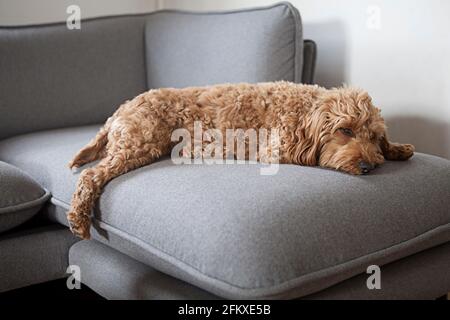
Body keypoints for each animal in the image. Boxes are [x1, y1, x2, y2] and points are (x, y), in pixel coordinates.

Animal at [67, 81, 414, 239]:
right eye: (345, 130)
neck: (306, 111)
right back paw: (78, 218)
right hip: (140, 143)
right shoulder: (276, 149)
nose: (367, 166)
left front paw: (397, 148)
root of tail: (118, 111)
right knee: (90, 176)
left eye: (373, 135)